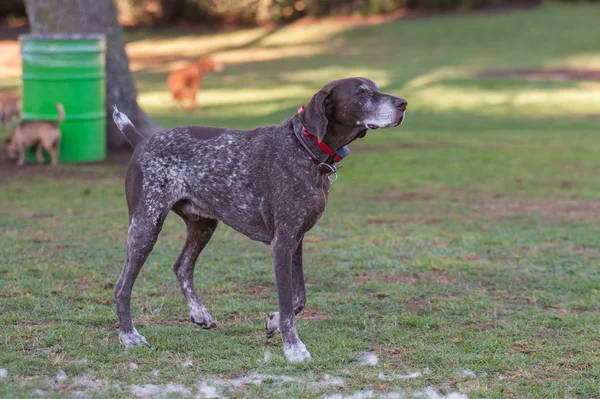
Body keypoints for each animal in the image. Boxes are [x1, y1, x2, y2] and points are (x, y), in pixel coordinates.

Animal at [111, 77, 408, 362]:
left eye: (375, 88)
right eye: (361, 92)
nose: (403, 104)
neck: (304, 148)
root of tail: (141, 140)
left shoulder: (296, 239)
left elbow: (299, 299)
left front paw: (273, 322)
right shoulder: (283, 243)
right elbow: (289, 305)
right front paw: (293, 349)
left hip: (203, 225)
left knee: (181, 266)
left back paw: (199, 314)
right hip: (146, 225)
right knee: (122, 287)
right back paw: (129, 336)